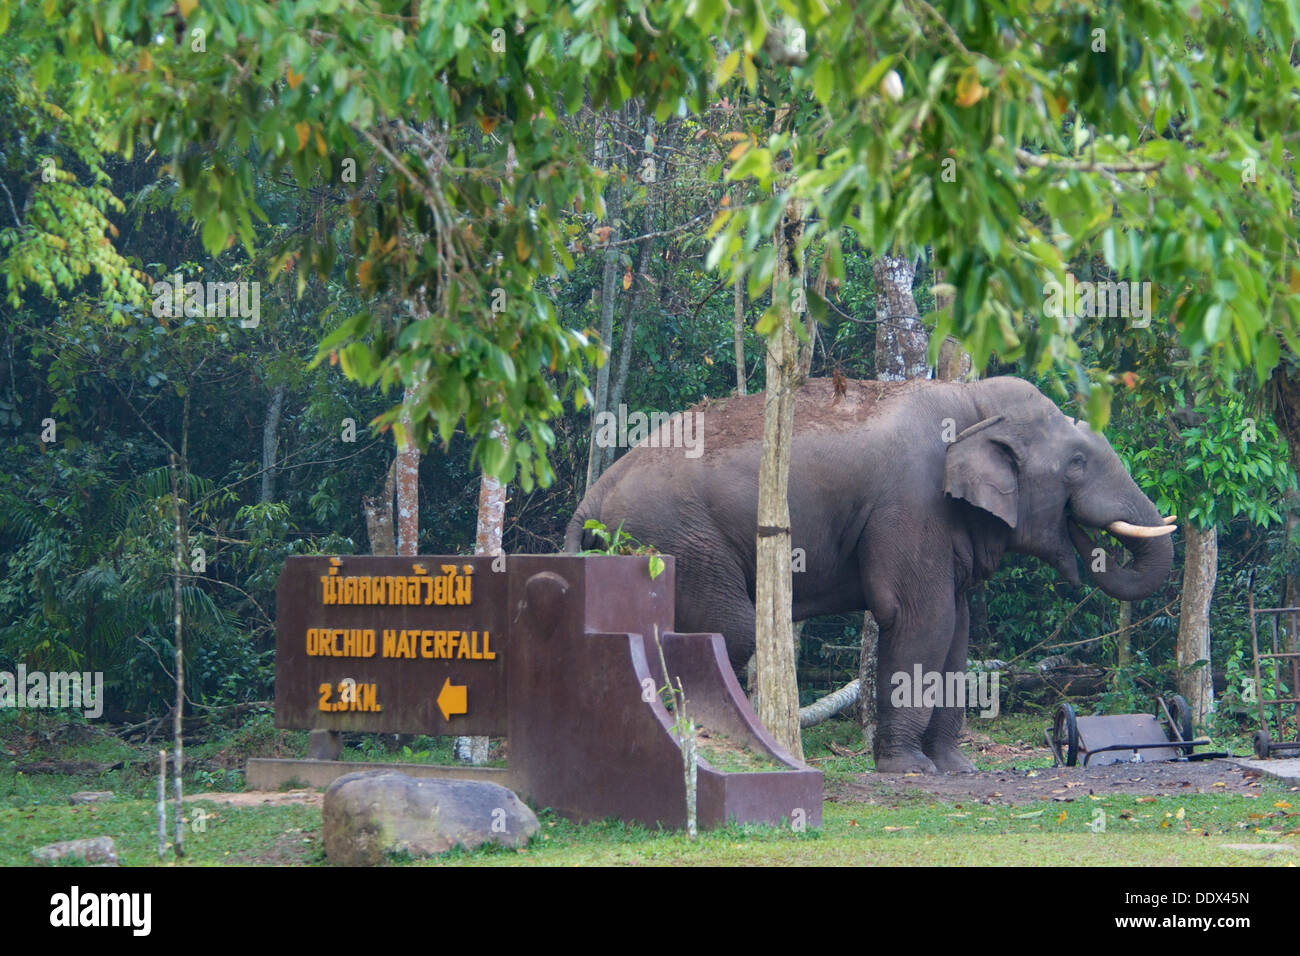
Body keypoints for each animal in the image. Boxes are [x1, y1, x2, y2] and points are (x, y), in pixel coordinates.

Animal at [564, 376, 1176, 774]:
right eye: (1076, 462)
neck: (971, 399)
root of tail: (588, 502)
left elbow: (957, 631)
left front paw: (956, 769)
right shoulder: (912, 502)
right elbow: (919, 618)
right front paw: (910, 771)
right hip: (674, 543)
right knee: (725, 631)